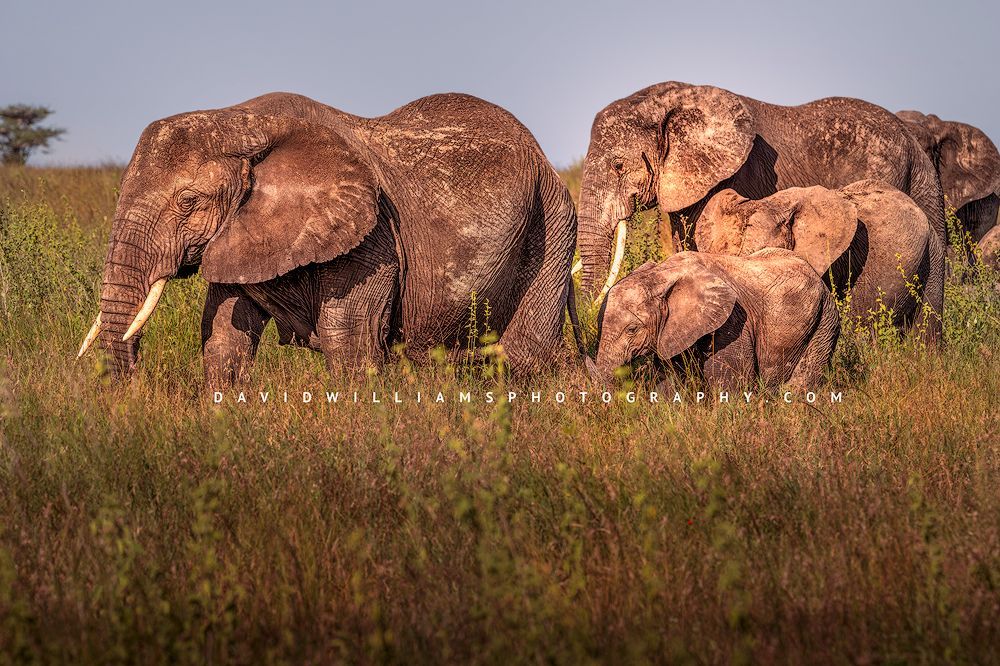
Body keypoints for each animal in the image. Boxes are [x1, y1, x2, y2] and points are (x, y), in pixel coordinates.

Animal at [76, 92, 579, 384]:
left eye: (188, 201)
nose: (130, 392)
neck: (240, 120)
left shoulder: (371, 236)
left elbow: (349, 338)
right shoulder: (241, 235)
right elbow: (222, 336)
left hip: (551, 224)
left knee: (524, 358)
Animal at [589, 248, 840, 390]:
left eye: (632, 329)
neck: (662, 273)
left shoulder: (733, 322)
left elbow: (731, 385)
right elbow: (670, 382)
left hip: (825, 319)